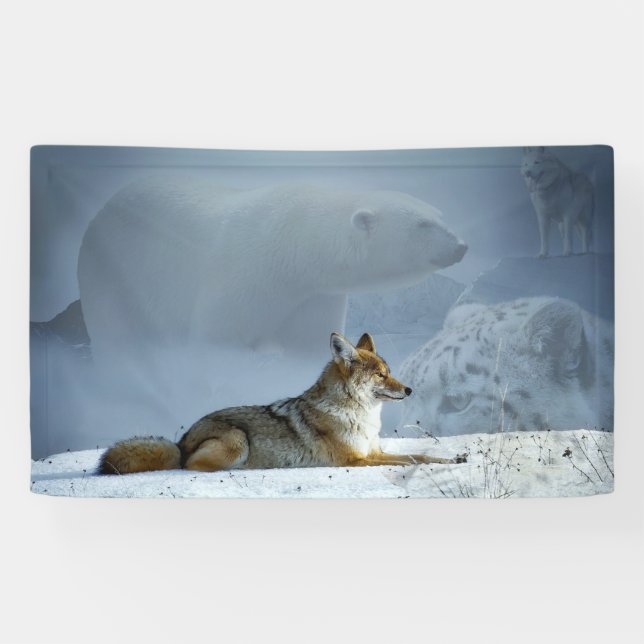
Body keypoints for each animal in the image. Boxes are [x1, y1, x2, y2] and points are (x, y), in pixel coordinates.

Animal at [98, 332, 466, 474]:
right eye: (381, 375)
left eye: (390, 372)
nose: (409, 390)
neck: (359, 416)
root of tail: (181, 440)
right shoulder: (356, 460)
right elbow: (410, 461)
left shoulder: (373, 452)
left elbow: (421, 455)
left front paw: (455, 459)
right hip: (237, 440)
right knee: (190, 467)